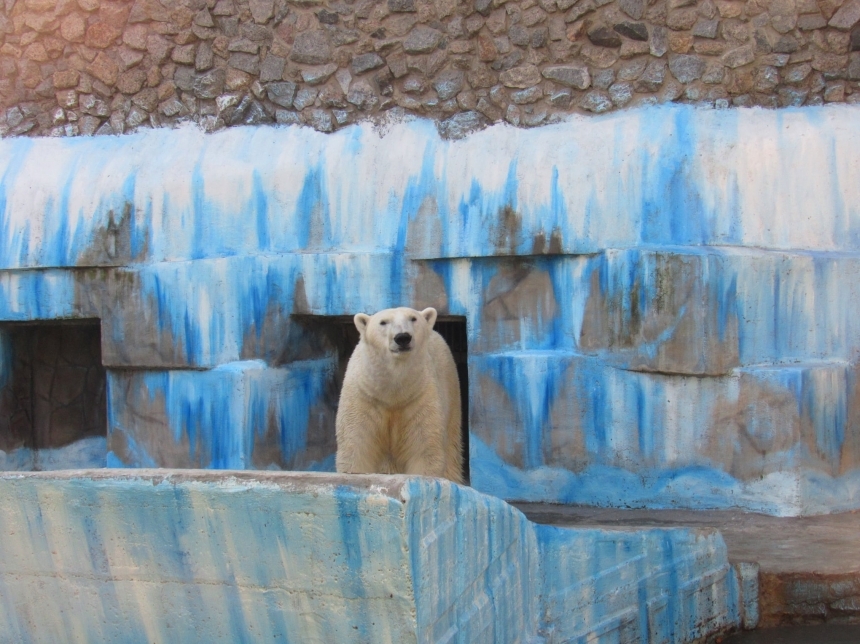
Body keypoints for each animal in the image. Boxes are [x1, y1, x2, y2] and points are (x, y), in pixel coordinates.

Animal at [336, 306, 464, 484]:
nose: (402, 337)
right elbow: (356, 444)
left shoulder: (420, 397)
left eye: (413, 318)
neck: (392, 392)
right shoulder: (363, 397)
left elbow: (423, 447)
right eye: (383, 322)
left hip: (451, 389)